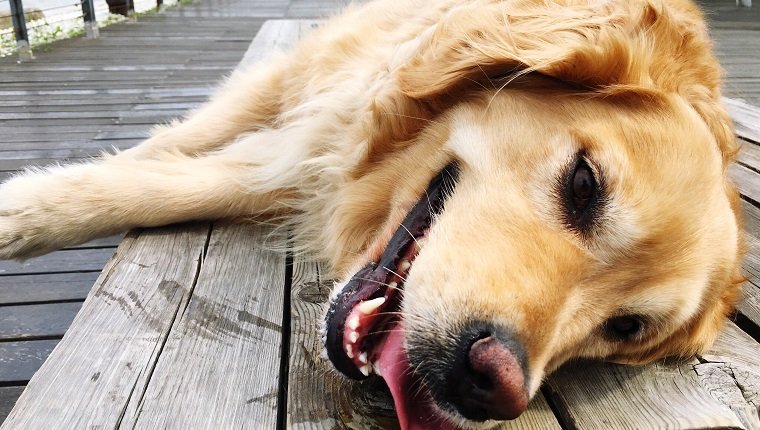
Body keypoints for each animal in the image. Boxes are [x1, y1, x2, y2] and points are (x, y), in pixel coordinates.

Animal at [0, 0, 744, 428]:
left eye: (624, 327)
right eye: (585, 184)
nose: (492, 388)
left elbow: (189, 184)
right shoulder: (322, 92)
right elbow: (172, 158)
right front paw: (26, 209)